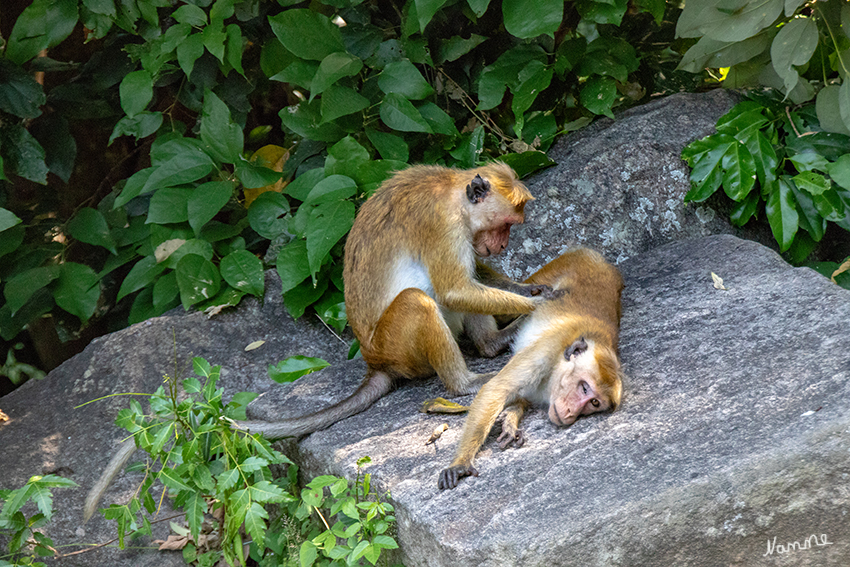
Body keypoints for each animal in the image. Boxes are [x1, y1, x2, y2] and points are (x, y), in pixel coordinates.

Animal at [438, 248, 624, 492]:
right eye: (584, 388)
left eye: (594, 403)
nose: (571, 413)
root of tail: (599, 258)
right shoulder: (546, 350)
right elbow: (496, 389)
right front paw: (460, 463)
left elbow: (517, 396)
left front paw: (509, 420)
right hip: (555, 270)